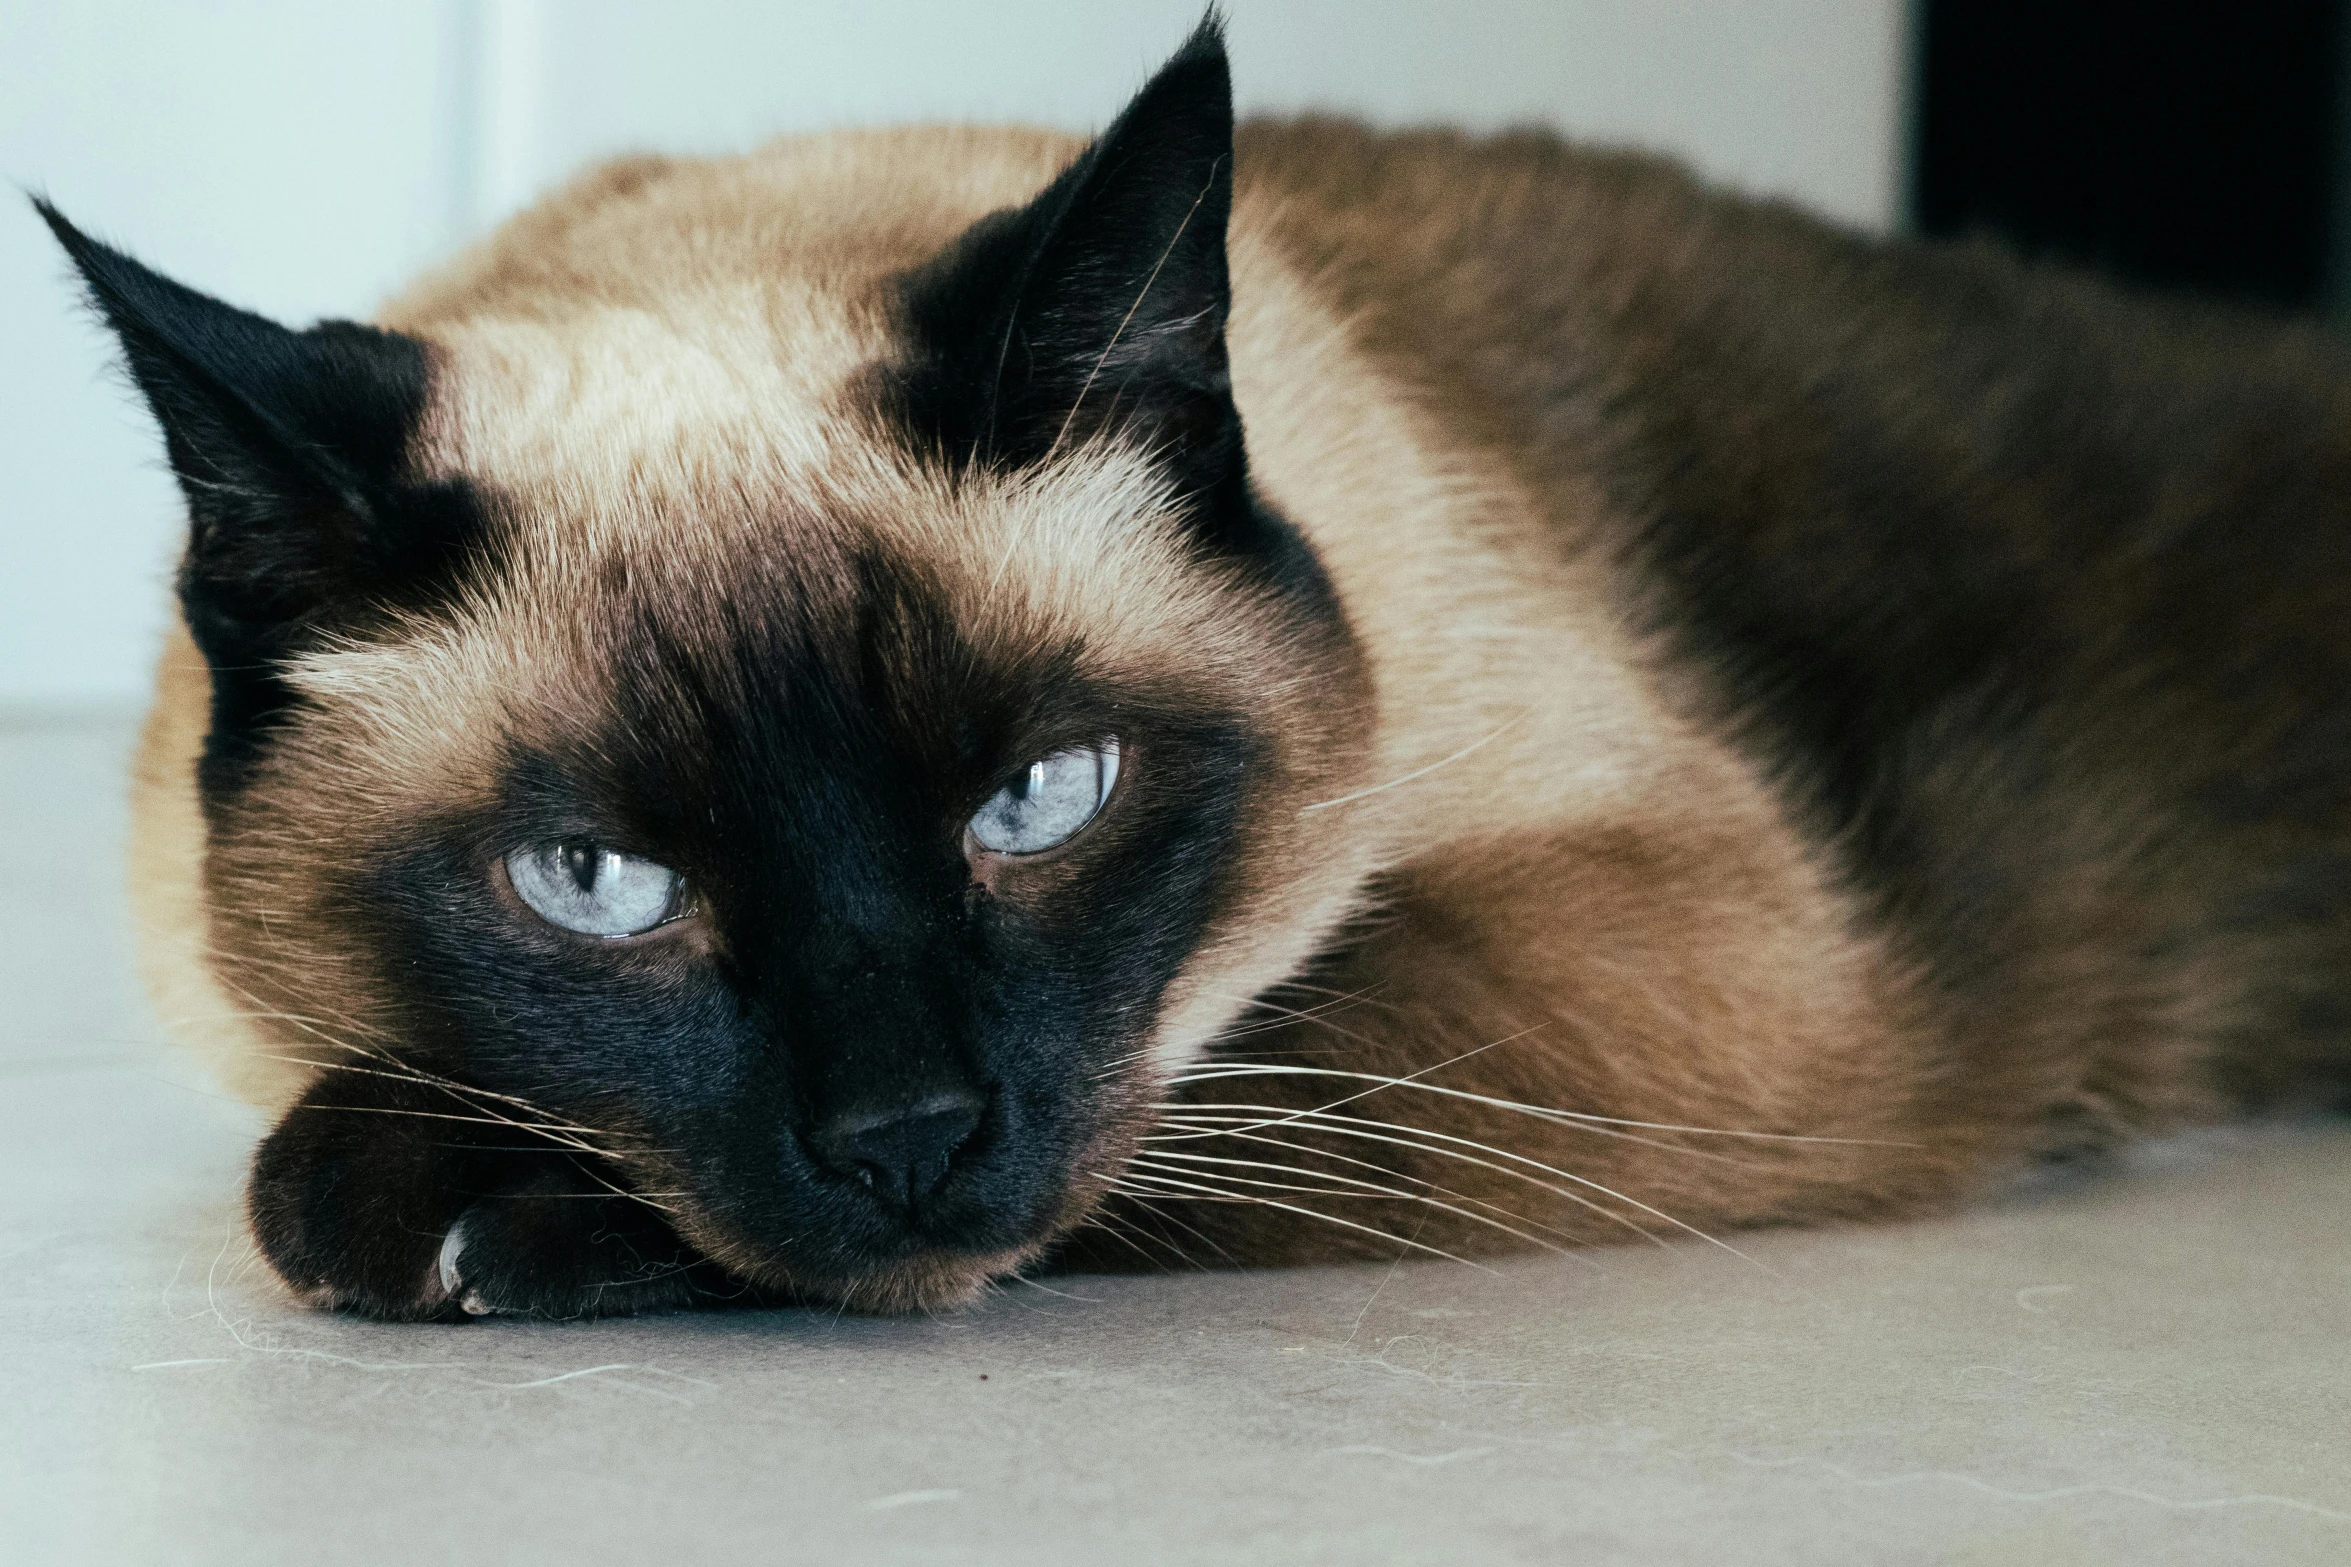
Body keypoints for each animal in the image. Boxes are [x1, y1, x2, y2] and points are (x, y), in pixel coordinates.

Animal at [32, 21, 2351, 1325]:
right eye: (595, 885)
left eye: (1039, 799)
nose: (907, 1137)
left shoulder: (1706, 944)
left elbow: (1263, 1048)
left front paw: (443, 1200)